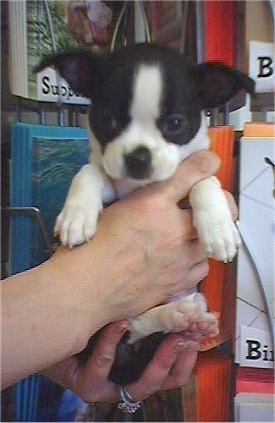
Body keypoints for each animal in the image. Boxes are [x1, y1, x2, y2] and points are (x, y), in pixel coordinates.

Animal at [35, 44, 256, 386]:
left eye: (175, 123)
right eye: (108, 120)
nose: (138, 157)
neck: (142, 186)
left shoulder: (189, 178)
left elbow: (204, 182)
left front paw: (218, 229)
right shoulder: (110, 182)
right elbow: (89, 171)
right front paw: (77, 216)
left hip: (194, 299)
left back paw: (190, 323)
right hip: (103, 326)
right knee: (128, 327)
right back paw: (175, 317)